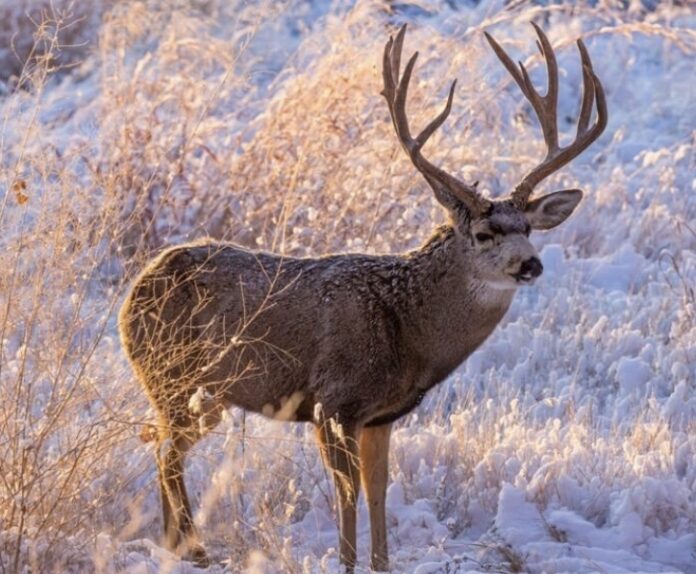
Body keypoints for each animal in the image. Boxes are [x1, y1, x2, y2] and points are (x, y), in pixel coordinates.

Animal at [119, 23, 607, 572]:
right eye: (484, 234)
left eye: (528, 229)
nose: (531, 264)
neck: (407, 328)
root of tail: (132, 294)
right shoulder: (334, 401)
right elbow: (346, 492)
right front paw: (347, 561)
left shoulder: (382, 416)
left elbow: (378, 490)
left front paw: (380, 562)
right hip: (175, 376)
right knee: (166, 452)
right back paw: (194, 548)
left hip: (191, 390)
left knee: (162, 445)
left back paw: (175, 544)